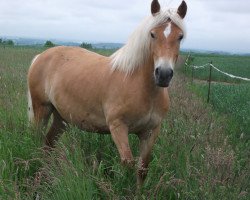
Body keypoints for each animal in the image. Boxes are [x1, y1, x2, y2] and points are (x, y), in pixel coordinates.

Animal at [27, 0, 188, 186]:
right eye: (153, 34)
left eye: (180, 36)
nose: (163, 74)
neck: (141, 87)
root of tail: (40, 56)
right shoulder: (118, 127)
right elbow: (128, 164)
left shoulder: (151, 132)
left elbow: (142, 169)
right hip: (42, 109)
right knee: (36, 140)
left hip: (61, 118)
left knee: (48, 143)